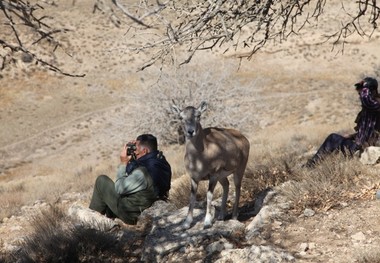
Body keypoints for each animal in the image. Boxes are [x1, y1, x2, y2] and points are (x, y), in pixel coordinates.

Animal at [171, 102, 249, 230]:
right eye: (181, 117)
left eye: (198, 115)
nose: (190, 131)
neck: (200, 157)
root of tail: (244, 138)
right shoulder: (194, 179)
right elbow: (192, 198)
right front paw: (186, 224)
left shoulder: (213, 176)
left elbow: (208, 196)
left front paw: (207, 223)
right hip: (222, 177)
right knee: (226, 185)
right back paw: (221, 216)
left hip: (238, 170)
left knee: (237, 188)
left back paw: (234, 216)